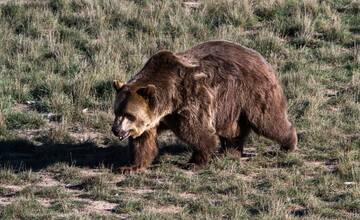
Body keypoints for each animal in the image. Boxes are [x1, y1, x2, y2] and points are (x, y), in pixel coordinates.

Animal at [111, 40, 296, 174]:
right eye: (117, 111)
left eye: (129, 115)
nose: (116, 130)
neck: (168, 101)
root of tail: (261, 57)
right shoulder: (155, 119)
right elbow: (143, 142)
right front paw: (130, 167)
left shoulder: (189, 100)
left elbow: (198, 132)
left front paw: (195, 162)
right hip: (231, 105)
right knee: (233, 130)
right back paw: (230, 151)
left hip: (252, 92)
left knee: (267, 121)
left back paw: (288, 144)